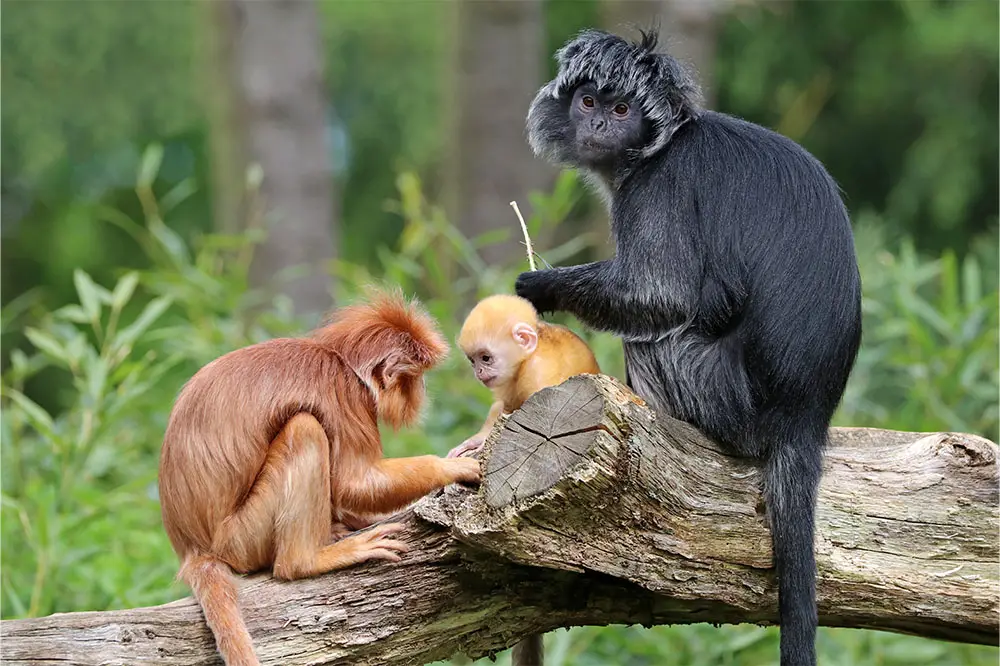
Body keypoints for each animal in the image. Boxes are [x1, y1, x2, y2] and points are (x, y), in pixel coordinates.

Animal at [158, 290, 482, 664]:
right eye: (415, 377)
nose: (421, 393)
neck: (340, 360)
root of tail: (193, 549)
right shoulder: (345, 395)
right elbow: (353, 483)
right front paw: (450, 467)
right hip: (241, 539)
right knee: (305, 429)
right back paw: (306, 561)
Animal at [512, 28, 864, 660]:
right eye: (588, 102)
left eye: (621, 111)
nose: (596, 123)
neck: (660, 145)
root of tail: (806, 415)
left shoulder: (660, 185)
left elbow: (667, 293)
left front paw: (541, 286)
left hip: (719, 393)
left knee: (651, 339)